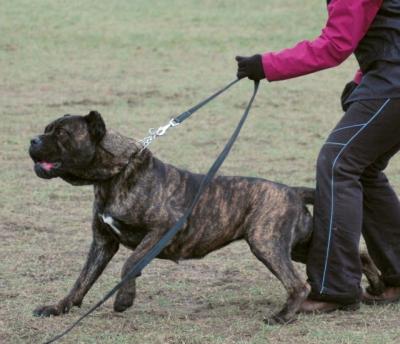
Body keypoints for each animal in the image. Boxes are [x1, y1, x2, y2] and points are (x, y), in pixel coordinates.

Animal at [28, 111, 382, 324]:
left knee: (297, 283)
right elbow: (82, 280)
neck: (115, 175)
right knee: (358, 254)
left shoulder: (162, 229)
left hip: (266, 243)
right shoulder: (102, 243)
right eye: (46, 130)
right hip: (295, 244)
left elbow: (130, 264)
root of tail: (291, 190)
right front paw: (58, 307)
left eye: (62, 133)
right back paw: (375, 286)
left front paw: (124, 299)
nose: (33, 139)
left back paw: (283, 316)